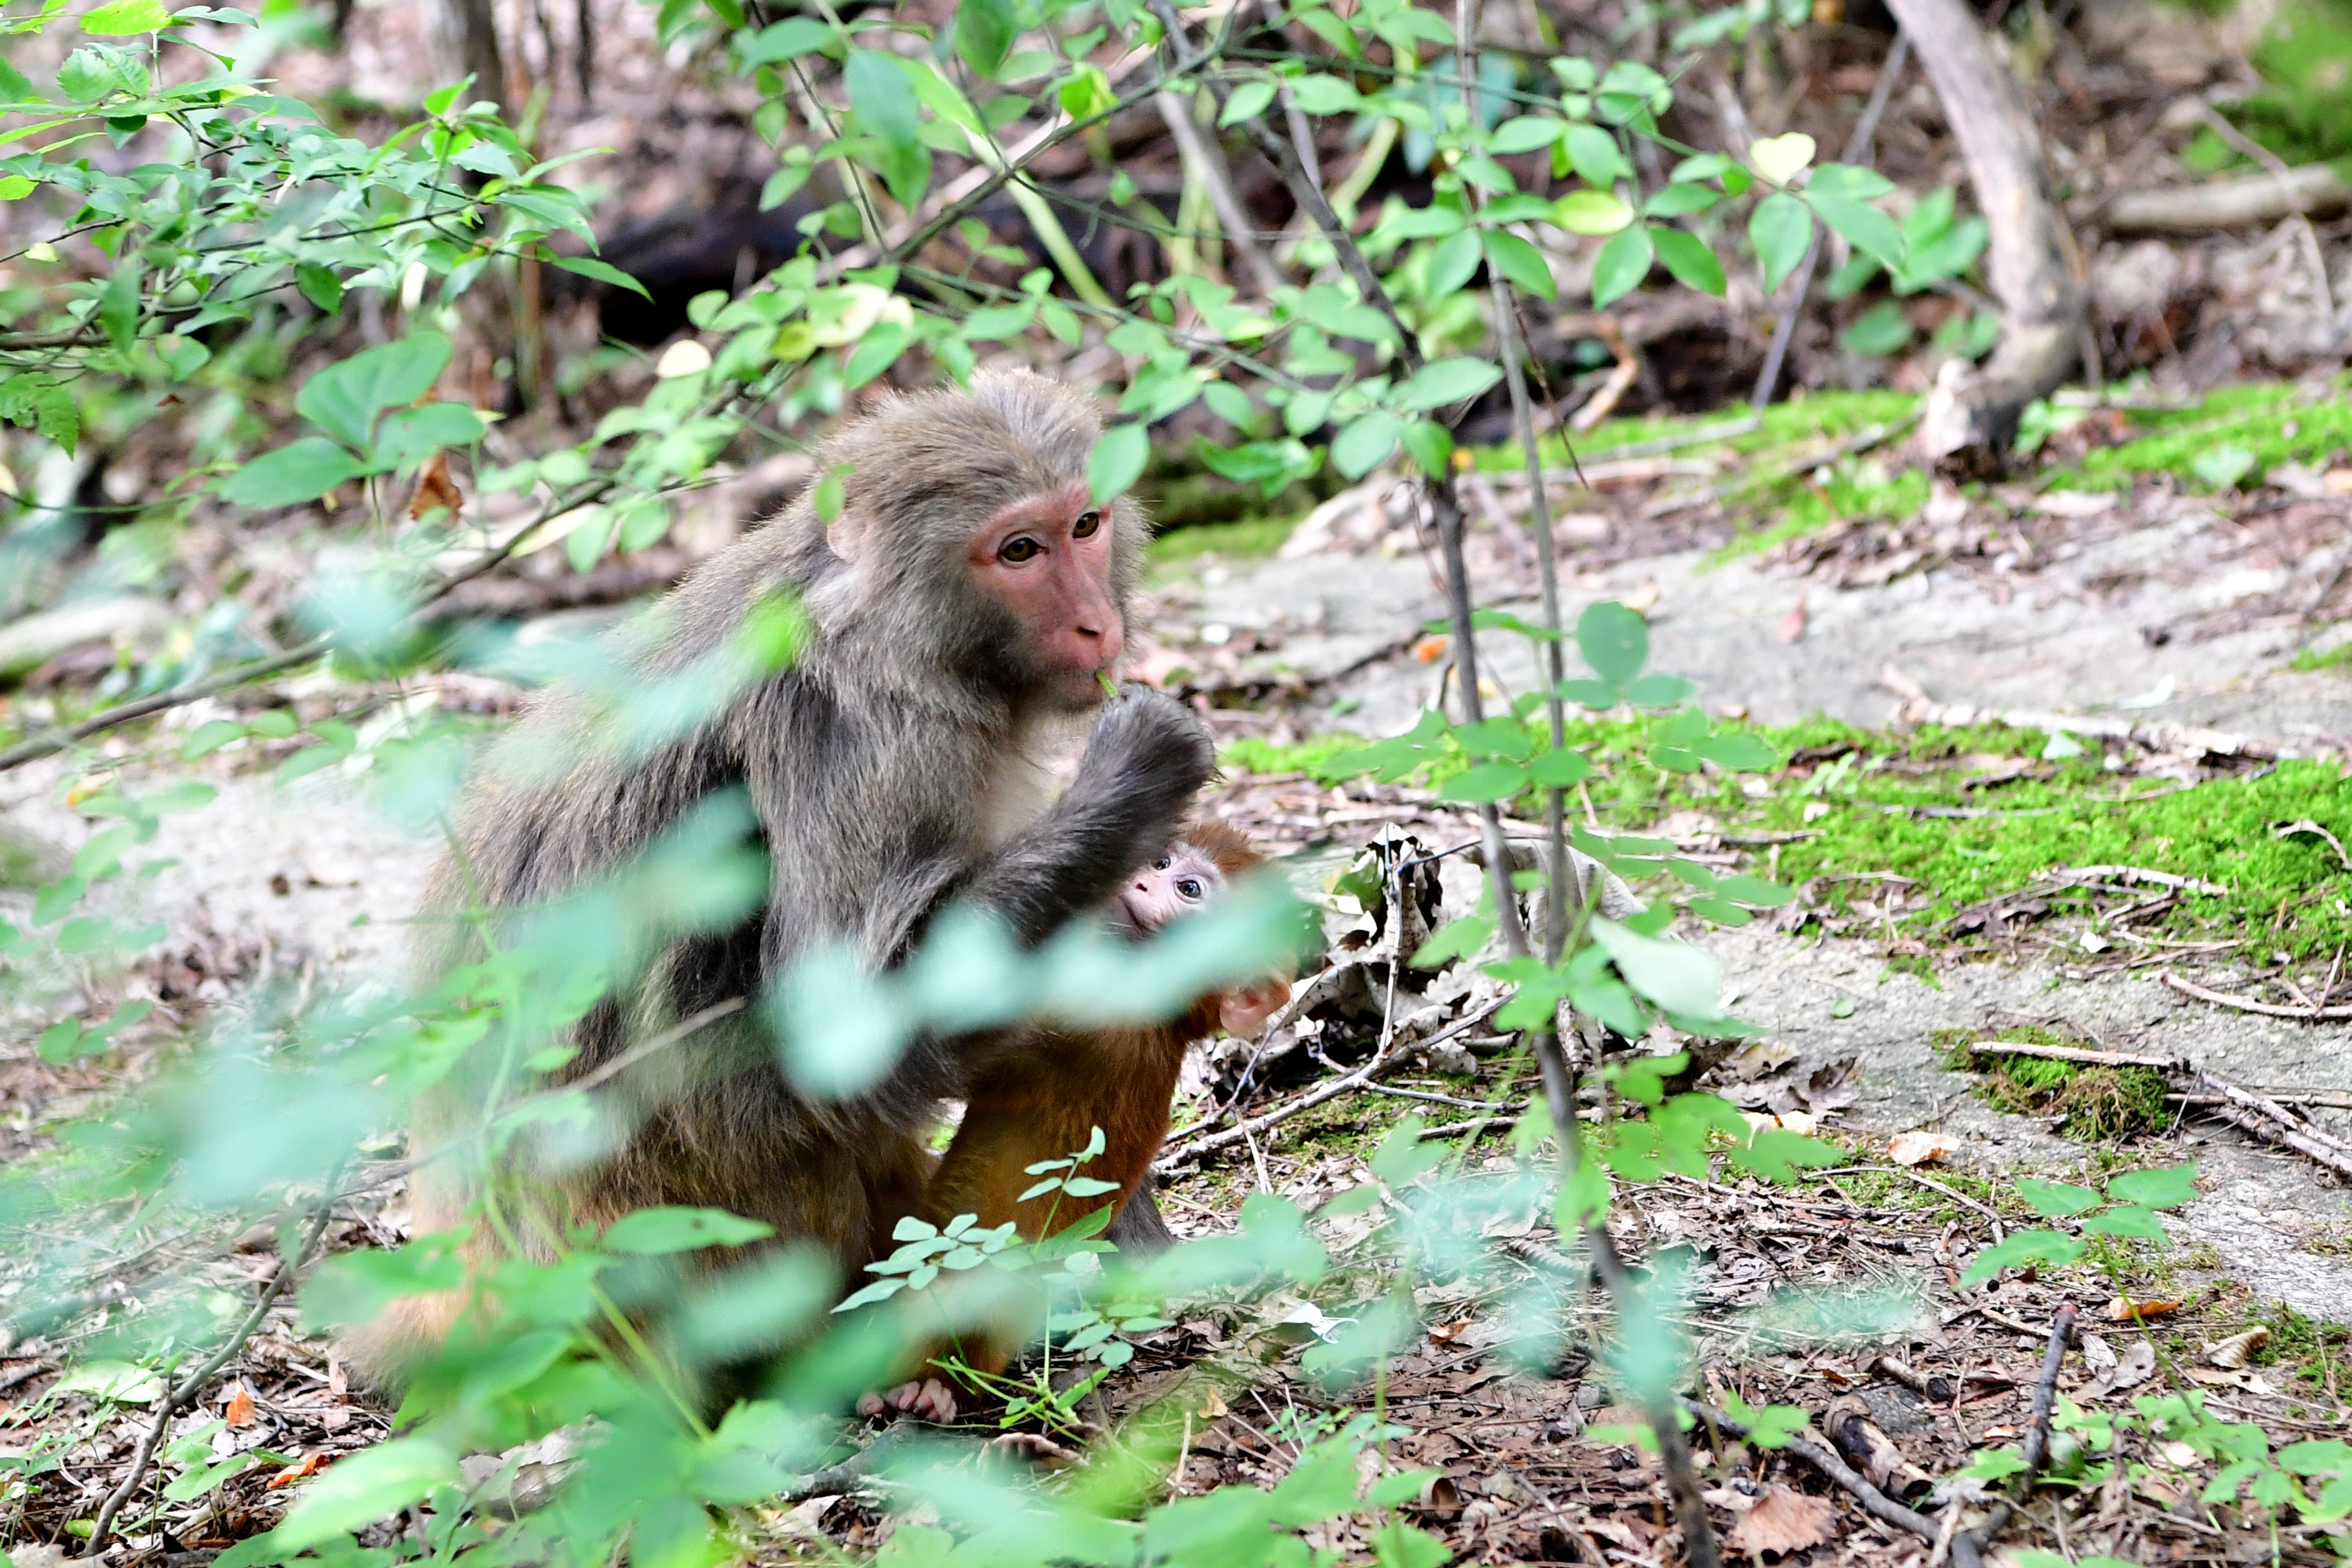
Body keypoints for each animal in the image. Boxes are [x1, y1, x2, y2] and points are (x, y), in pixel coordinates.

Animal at [362, 374, 1232, 1401]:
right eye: (1019, 550)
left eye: (1084, 524)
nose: (1099, 623)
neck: (891, 626)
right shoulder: (872, 738)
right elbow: (841, 1031)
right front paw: (1134, 777)